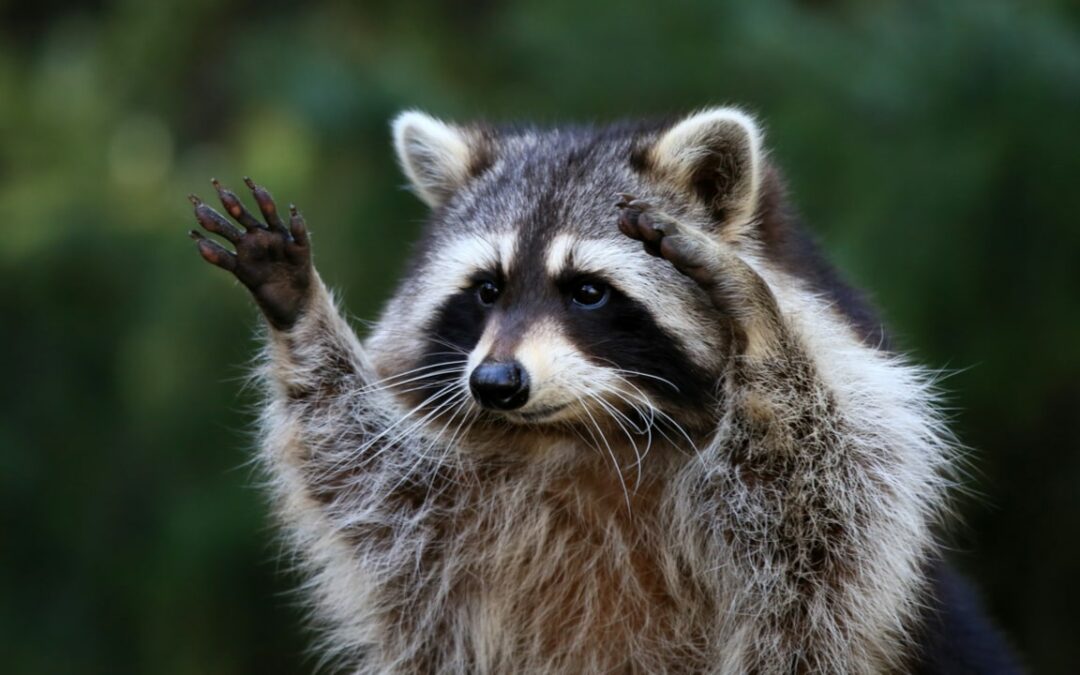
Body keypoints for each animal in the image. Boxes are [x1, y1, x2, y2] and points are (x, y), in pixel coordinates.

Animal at [187, 108, 1019, 669]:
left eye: (587, 291)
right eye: (486, 289)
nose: (495, 383)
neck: (591, 432)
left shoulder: (858, 471)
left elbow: (826, 513)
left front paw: (761, 325)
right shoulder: (441, 515)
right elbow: (362, 470)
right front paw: (301, 312)